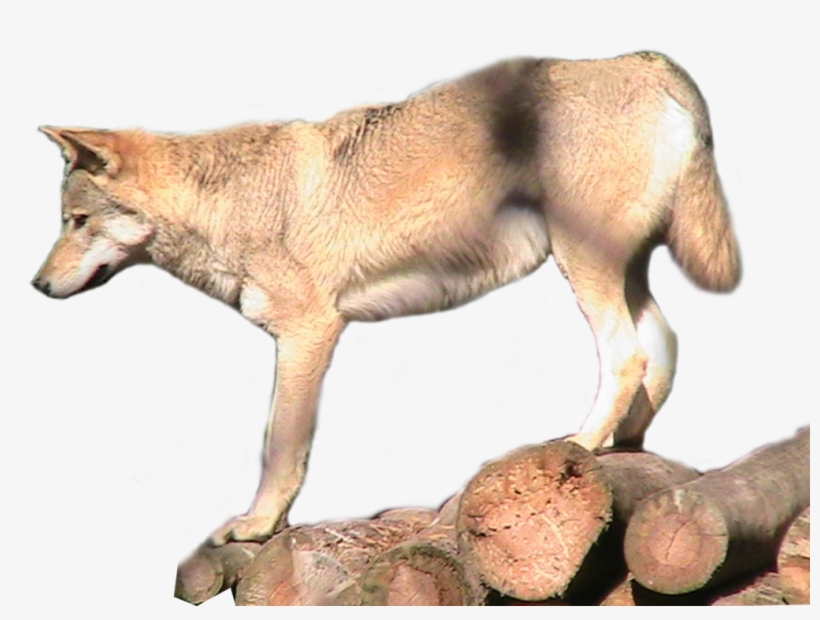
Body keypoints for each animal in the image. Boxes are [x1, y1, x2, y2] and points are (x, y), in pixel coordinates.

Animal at [32, 52, 740, 545]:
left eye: (76, 221)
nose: (36, 286)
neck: (231, 203)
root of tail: (643, 60)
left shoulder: (308, 335)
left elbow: (279, 447)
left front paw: (257, 527)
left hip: (584, 265)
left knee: (627, 354)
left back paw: (582, 444)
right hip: (619, 270)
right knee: (662, 344)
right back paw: (626, 443)